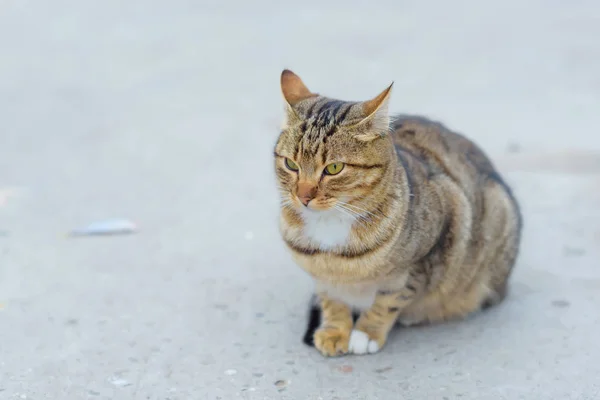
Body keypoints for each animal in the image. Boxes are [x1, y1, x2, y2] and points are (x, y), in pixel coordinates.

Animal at [274, 69, 524, 356]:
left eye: (334, 168)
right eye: (291, 164)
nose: (303, 197)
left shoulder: (428, 253)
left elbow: (390, 299)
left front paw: (366, 332)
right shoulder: (321, 276)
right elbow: (331, 299)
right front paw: (336, 330)